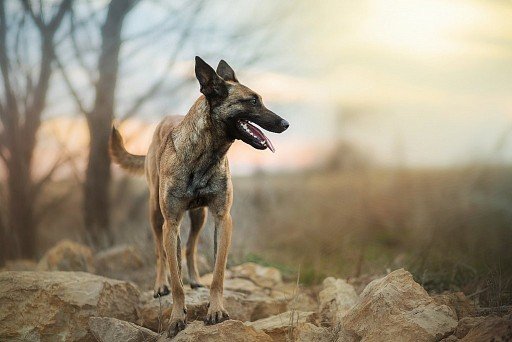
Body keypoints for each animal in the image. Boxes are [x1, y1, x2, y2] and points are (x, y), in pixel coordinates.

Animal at [109, 56, 288, 336]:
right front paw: (176, 317)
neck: (205, 154)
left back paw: (194, 279)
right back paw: (160, 285)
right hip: (155, 214)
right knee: (160, 252)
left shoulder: (222, 219)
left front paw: (215, 310)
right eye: (252, 101)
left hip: (199, 216)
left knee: (191, 247)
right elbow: (176, 278)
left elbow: (217, 274)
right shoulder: (172, 224)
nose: (285, 124)